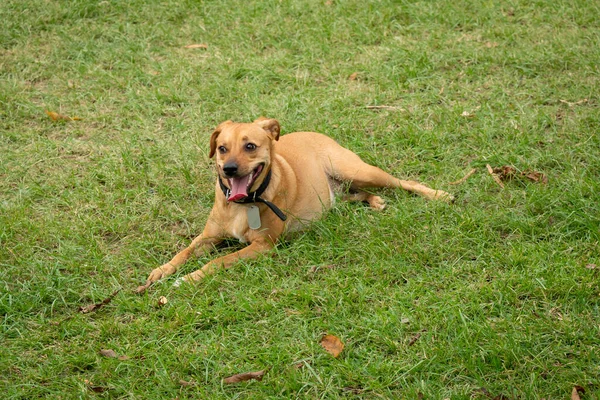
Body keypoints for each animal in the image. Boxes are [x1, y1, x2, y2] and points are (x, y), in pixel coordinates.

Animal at [135, 117, 450, 292]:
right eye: (222, 148)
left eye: (250, 146)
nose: (229, 169)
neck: (243, 205)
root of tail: (317, 133)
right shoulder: (208, 236)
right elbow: (184, 252)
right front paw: (163, 269)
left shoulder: (262, 246)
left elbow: (218, 262)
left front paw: (190, 278)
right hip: (338, 192)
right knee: (358, 194)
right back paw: (375, 201)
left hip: (359, 171)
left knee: (403, 182)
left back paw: (438, 194)